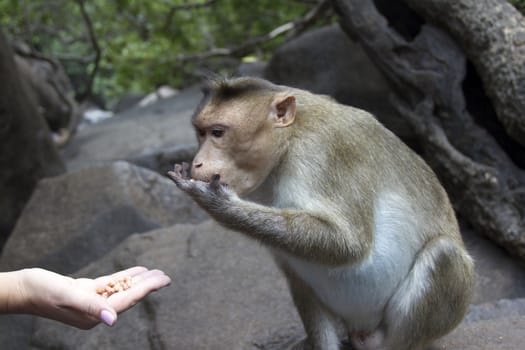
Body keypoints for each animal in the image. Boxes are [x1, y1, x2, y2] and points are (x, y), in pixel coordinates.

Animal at [168, 76, 474, 350]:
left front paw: (217, 204)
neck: (288, 141)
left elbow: (349, 244)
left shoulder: (324, 152)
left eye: (218, 133)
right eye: (201, 132)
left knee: (444, 255)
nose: (197, 162)